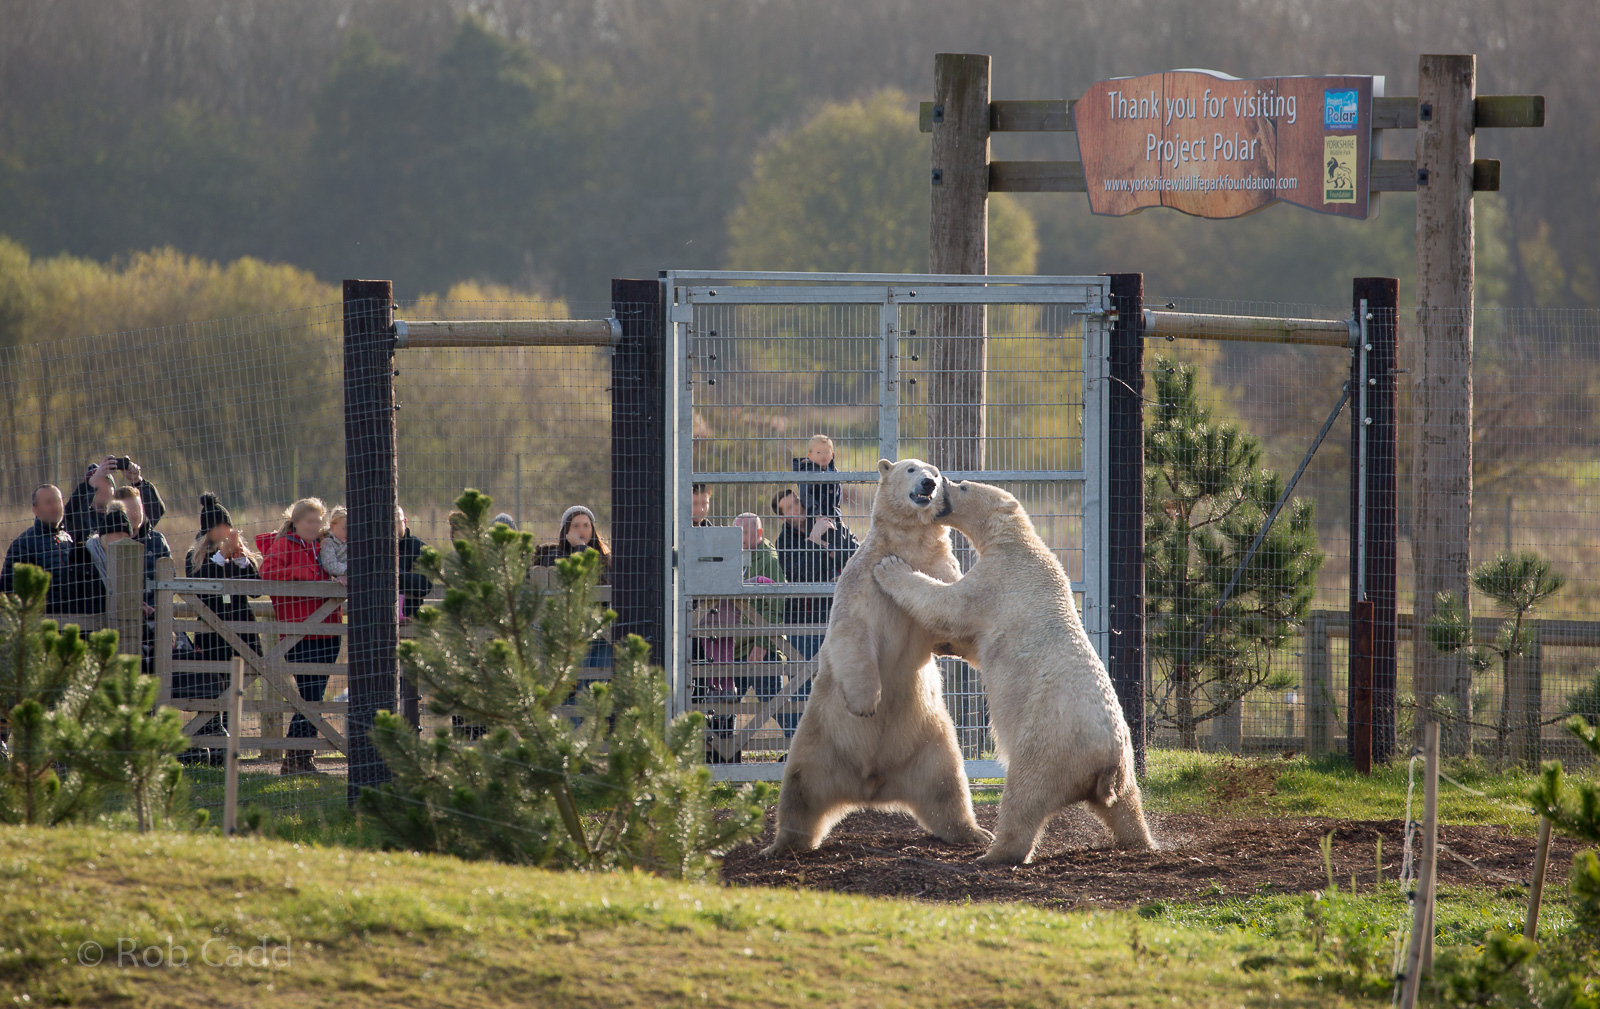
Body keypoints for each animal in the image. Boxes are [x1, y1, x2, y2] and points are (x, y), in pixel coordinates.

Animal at [761, 458, 993, 856]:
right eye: (911, 469)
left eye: (934, 471)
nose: (929, 484)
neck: (909, 544)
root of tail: (871, 784)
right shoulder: (862, 579)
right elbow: (853, 631)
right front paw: (867, 704)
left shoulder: (941, 569)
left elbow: (950, 627)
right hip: (819, 740)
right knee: (800, 788)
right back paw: (783, 845)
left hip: (929, 743)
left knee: (948, 785)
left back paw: (974, 833)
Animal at [872, 477, 1155, 864]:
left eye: (963, 486)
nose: (939, 482)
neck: (1019, 544)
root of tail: (1107, 757)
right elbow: (970, 642)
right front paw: (943, 645)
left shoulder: (997, 580)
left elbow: (949, 605)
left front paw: (890, 567)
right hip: (1125, 765)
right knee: (1126, 806)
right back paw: (1141, 841)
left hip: (1049, 745)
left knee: (1024, 796)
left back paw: (993, 853)